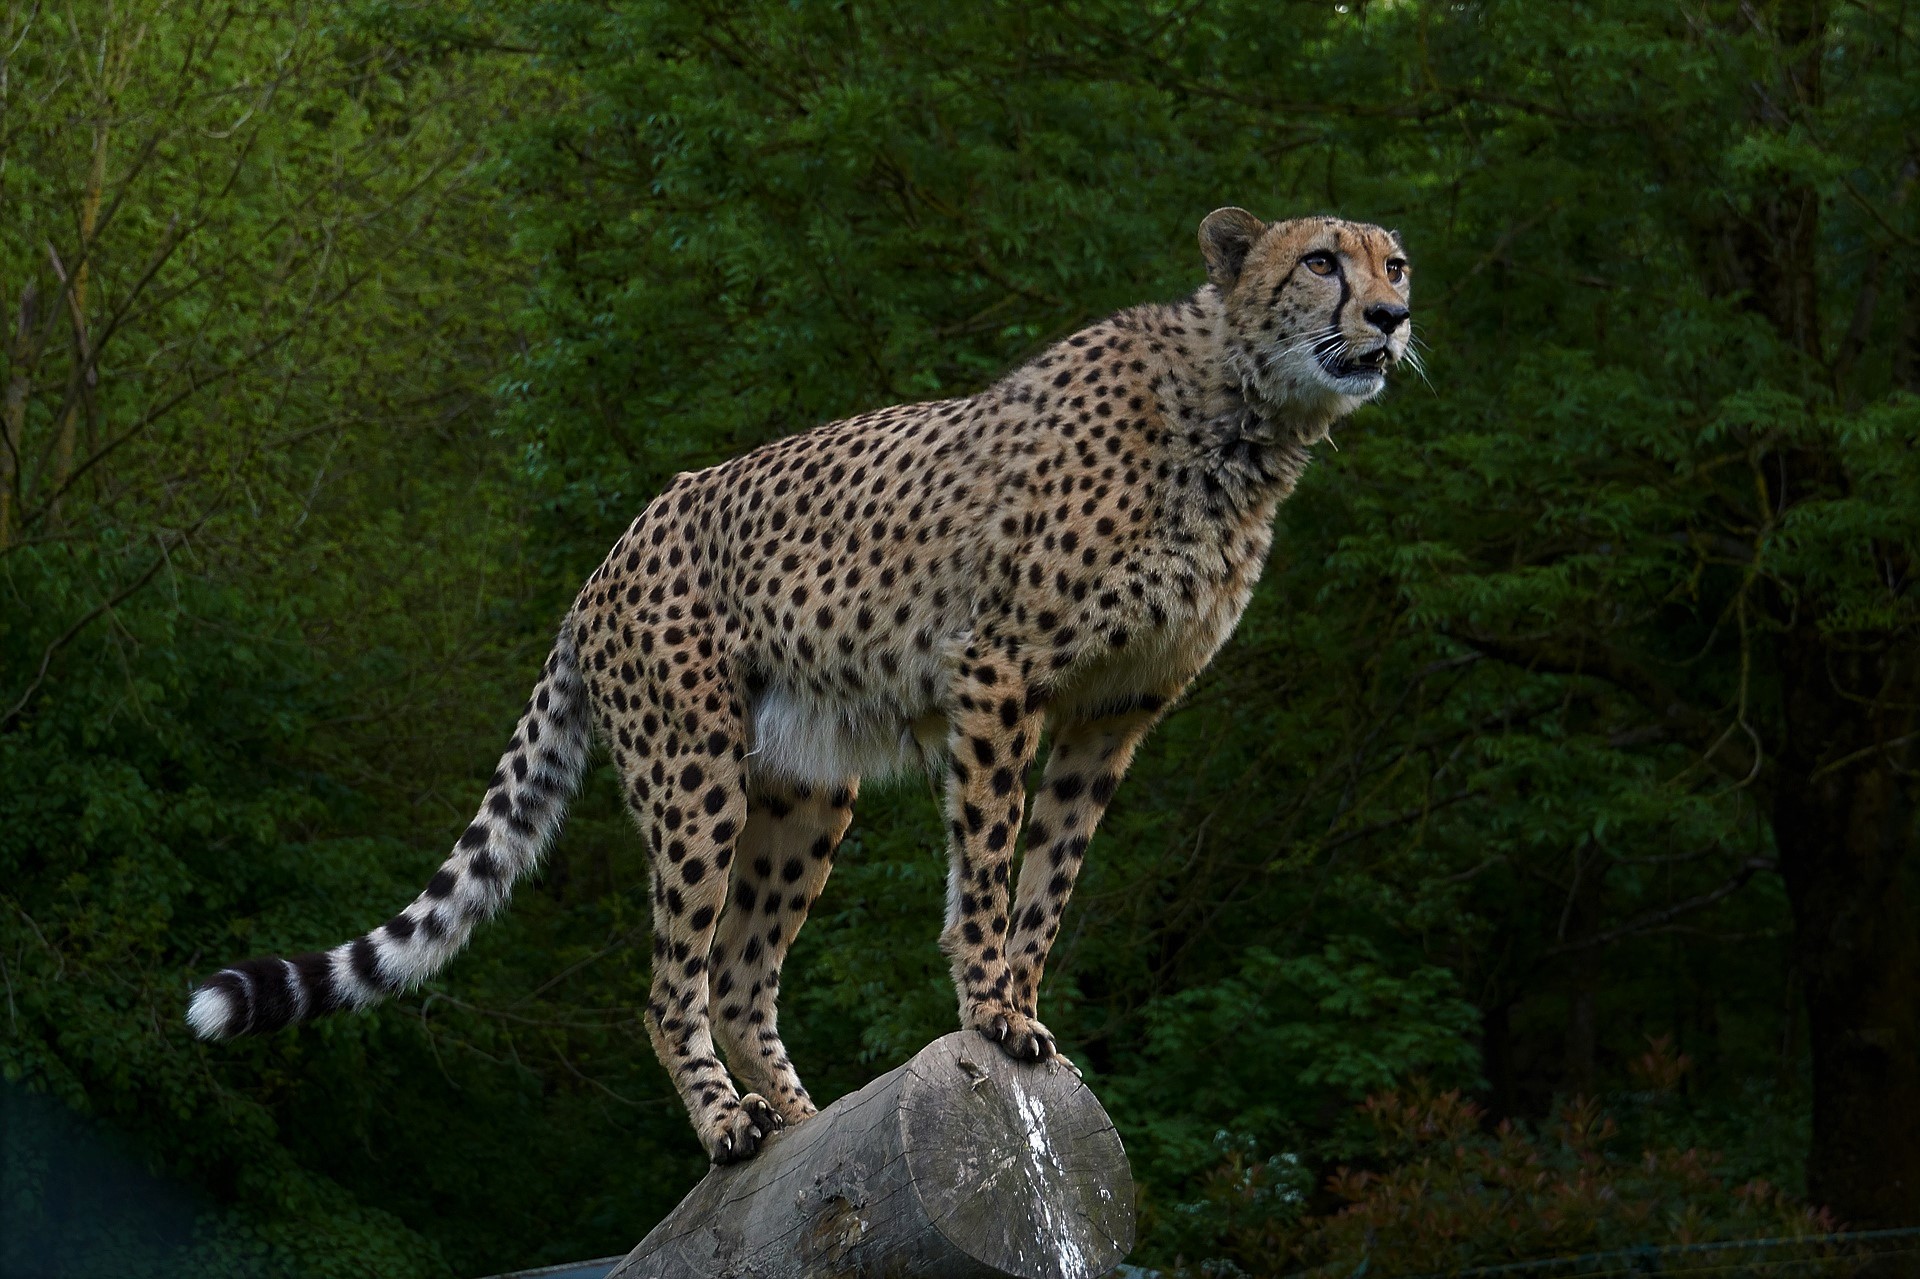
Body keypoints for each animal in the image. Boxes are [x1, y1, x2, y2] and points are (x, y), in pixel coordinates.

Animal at [187, 208, 1413, 1164]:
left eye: (1395, 263)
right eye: (1321, 262)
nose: (1394, 320)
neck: (1244, 416)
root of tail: (609, 554)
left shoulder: (1114, 712)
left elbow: (1050, 878)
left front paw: (1019, 1004)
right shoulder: (1001, 669)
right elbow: (990, 860)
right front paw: (989, 1008)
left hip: (807, 785)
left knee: (738, 971)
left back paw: (806, 1119)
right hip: (695, 770)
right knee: (671, 982)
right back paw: (730, 1125)